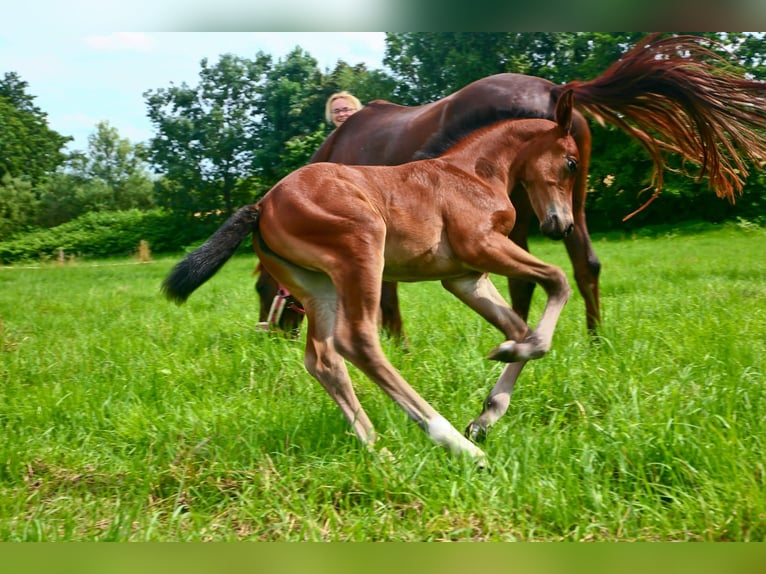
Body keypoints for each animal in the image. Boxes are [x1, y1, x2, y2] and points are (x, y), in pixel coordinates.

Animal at [164, 91, 584, 464]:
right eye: (572, 163)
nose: (560, 226)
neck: (473, 172)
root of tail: (263, 203)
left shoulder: (466, 276)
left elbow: (519, 329)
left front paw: (488, 412)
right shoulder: (481, 246)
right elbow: (557, 281)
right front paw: (488, 408)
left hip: (320, 286)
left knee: (323, 359)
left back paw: (378, 449)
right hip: (362, 249)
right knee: (357, 342)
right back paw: (456, 445)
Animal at [256, 33, 766, 340]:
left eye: (263, 289)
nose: (271, 339)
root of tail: (555, 89)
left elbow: (387, 296)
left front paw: (397, 344)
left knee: (526, 280)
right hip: (569, 208)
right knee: (585, 266)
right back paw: (594, 340)